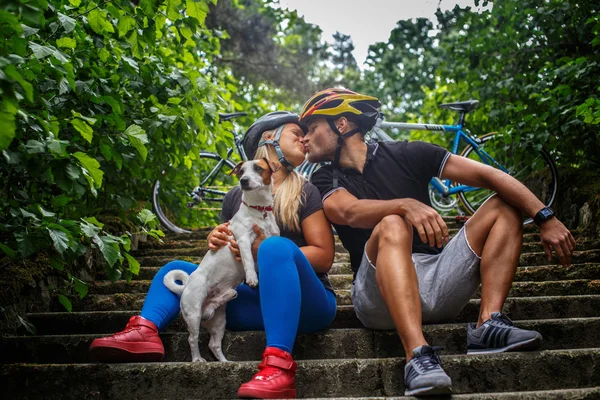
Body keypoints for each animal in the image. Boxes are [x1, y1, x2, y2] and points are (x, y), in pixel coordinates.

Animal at [162, 159, 278, 362]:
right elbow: (248, 260)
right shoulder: (243, 240)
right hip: (193, 313)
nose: (243, 181)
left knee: (213, 344)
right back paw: (197, 360)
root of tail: (186, 286)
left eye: (258, 168)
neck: (259, 210)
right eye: (241, 172)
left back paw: (224, 361)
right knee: (192, 339)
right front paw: (252, 278)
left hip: (219, 321)